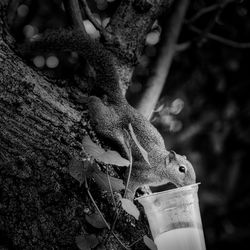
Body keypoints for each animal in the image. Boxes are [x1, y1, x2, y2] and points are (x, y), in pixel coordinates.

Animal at [20, 28, 196, 199]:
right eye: (181, 169)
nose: (192, 185)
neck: (160, 166)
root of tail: (123, 104)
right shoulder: (140, 170)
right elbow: (130, 184)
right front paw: (127, 199)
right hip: (107, 121)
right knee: (95, 103)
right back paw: (82, 98)